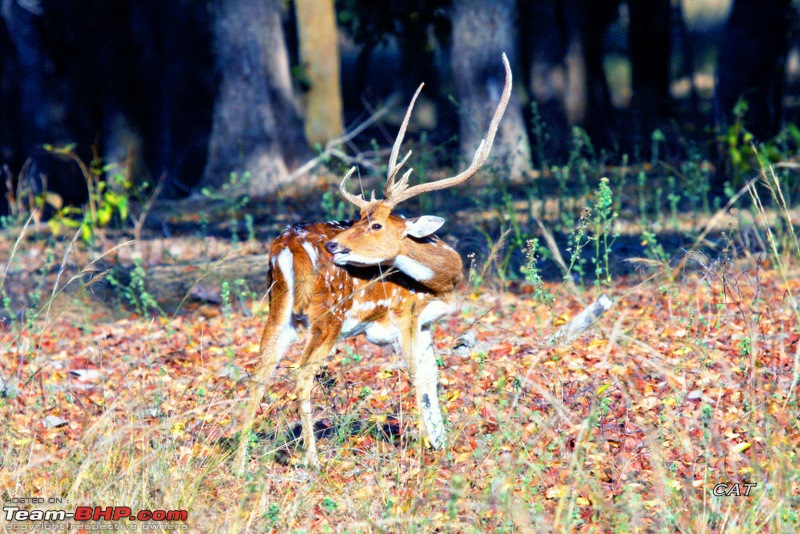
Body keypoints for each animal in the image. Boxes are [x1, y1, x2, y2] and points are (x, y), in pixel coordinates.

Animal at [239, 53, 512, 468]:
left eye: (375, 222)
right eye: (359, 218)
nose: (335, 245)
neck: (445, 283)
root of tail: (285, 247)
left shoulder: (424, 322)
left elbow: (432, 377)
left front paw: (441, 444)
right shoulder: (406, 314)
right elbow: (418, 378)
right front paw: (430, 449)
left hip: (279, 308)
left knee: (258, 372)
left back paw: (238, 462)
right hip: (328, 315)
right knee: (301, 374)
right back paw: (312, 460)